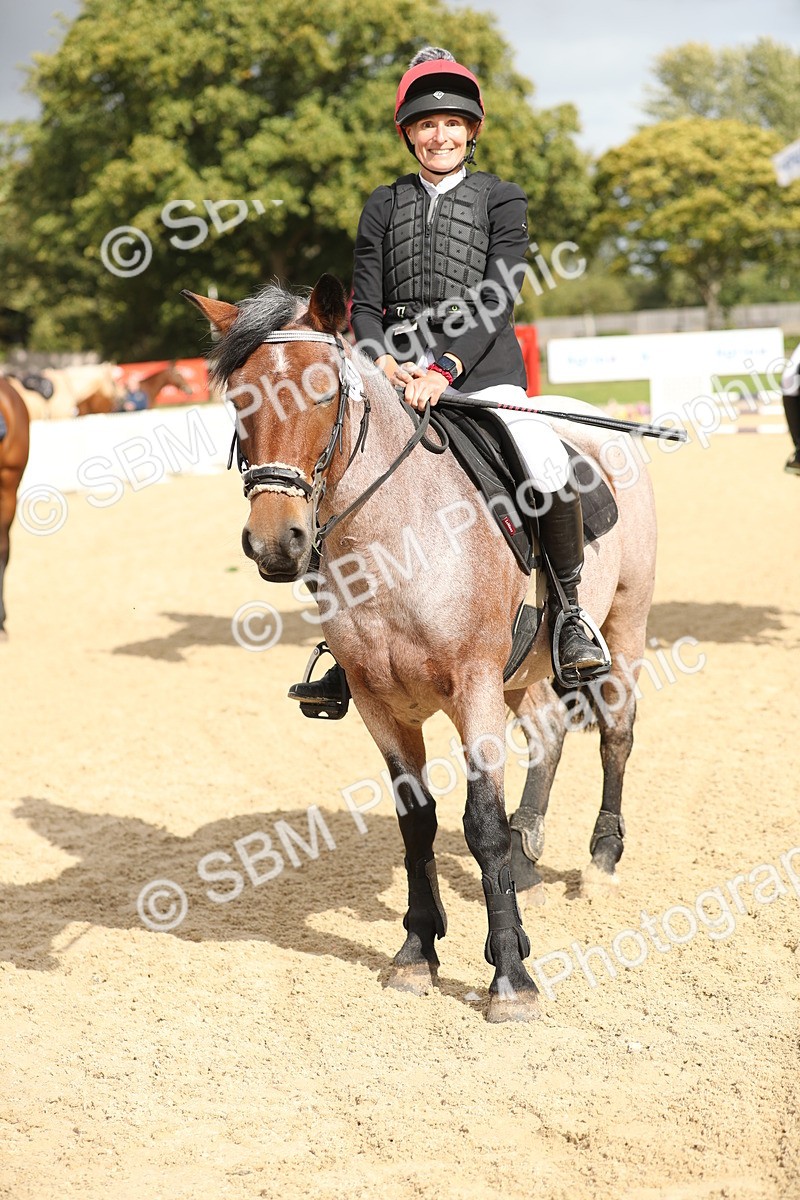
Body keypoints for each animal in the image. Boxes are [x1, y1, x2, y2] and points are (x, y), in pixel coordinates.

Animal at [182, 275, 657, 1023]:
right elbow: (418, 824)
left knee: (615, 731)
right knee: (549, 731)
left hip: (624, 623)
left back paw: (601, 861)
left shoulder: (474, 688)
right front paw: (416, 953)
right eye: (239, 401)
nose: (276, 541)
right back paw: (528, 858)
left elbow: (480, 824)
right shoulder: (383, 705)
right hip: (524, 669)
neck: (395, 542)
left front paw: (511, 979)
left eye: (325, 392)